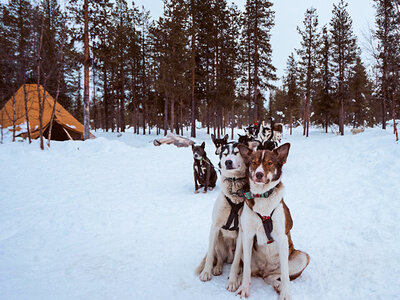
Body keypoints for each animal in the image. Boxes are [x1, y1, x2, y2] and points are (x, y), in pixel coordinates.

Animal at [195, 143, 248, 282]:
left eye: (236, 152)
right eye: (225, 154)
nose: (228, 162)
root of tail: (228, 256)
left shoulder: (242, 232)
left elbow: (236, 262)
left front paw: (233, 280)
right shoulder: (215, 227)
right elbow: (210, 257)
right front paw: (206, 272)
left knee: (238, 261)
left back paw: (239, 270)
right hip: (217, 240)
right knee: (218, 258)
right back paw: (217, 268)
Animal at [227, 144, 310, 298]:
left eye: (270, 163)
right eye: (254, 163)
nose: (259, 174)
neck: (263, 196)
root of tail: (263, 270)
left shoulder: (282, 238)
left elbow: (285, 274)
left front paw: (285, 294)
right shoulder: (247, 235)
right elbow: (246, 270)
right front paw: (244, 289)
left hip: (302, 257)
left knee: (273, 276)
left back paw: (277, 284)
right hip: (242, 245)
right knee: (249, 270)